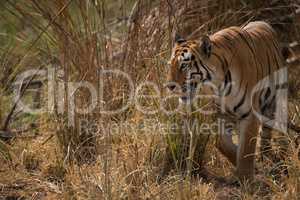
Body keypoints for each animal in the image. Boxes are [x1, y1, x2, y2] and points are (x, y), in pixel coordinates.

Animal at [166, 21, 288, 180]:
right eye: (170, 65)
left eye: (184, 65)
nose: (169, 86)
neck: (218, 85)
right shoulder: (222, 116)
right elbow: (223, 144)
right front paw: (247, 166)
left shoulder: (249, 115)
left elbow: (246, 151)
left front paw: (246, 178)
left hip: (274, 103)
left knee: (272, 133)